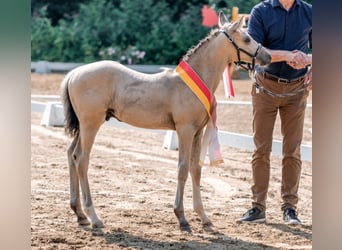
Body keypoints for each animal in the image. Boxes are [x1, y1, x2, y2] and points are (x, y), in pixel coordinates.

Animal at [60, 11, 270, 230]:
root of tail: (74, 73)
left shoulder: (197, 132)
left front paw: (203, 217)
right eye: (246, 39)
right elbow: (182, 169)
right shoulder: (185, 130)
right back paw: (94, 217)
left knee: (71, 154)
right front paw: (182, 217)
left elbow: (196, 169)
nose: (268, 56)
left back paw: (80, 214)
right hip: (90, 125)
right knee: (82, 159)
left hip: (82, 127)